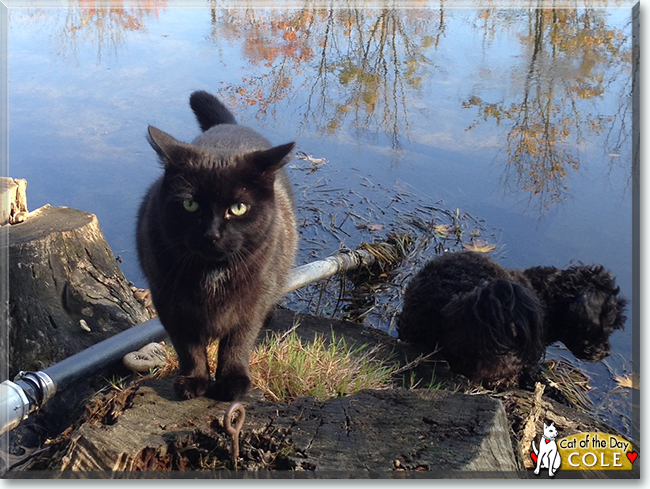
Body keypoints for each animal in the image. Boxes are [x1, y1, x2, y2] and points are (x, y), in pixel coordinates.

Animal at [139, 90, 298, 400]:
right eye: (190, 205)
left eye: (238, 208)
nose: (211, 234)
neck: (212, 273)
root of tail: (230, 126)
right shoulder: (168, 301)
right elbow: (188, 346)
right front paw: (193, 380)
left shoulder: (252, 302)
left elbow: (238, 341)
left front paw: (232, 381)